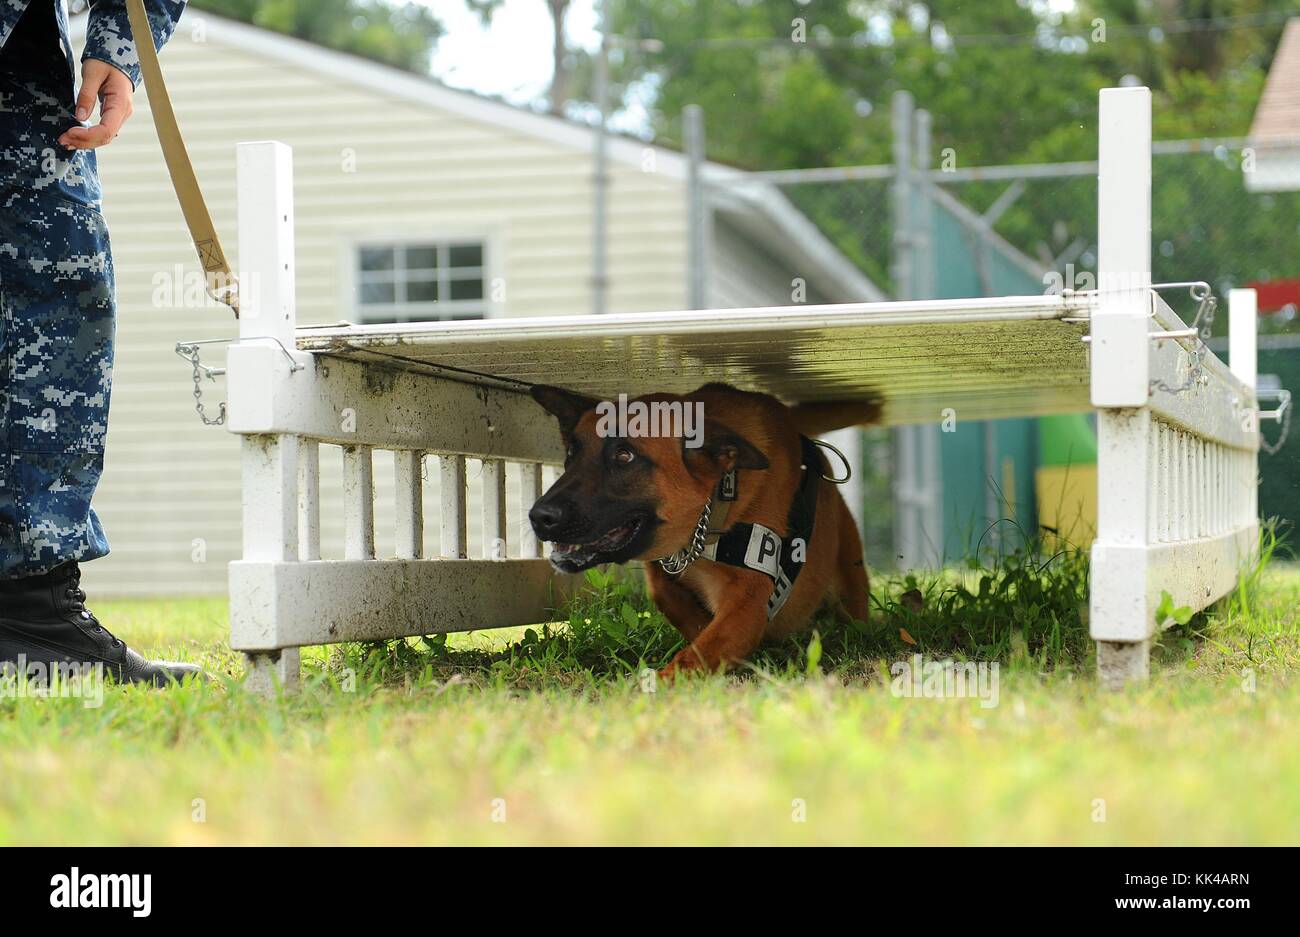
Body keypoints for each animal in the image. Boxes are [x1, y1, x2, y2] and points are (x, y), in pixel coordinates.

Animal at [527, 382, 883, 680]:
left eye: (624, 455)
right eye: (571, 453)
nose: (538, 517)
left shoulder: (747, 604)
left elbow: (696, 653)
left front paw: (659, 682)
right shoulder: (663, 572)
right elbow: (675, 604)